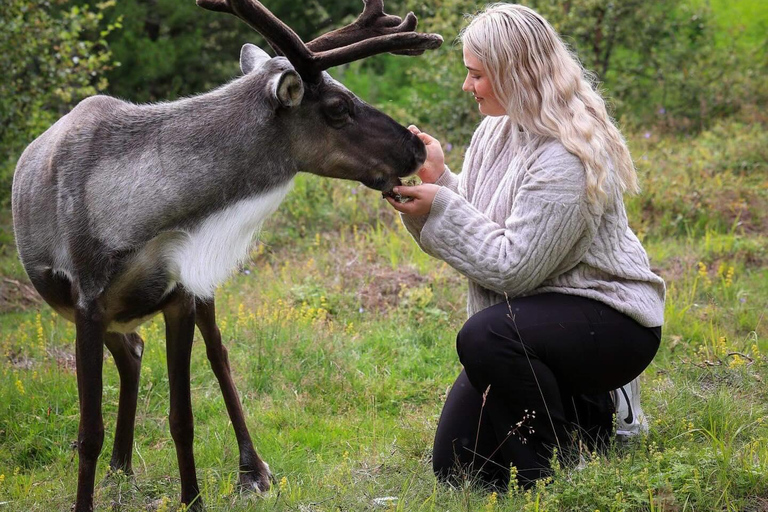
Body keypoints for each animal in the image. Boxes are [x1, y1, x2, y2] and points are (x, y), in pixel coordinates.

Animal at [10, 0, 442, 509]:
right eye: (338, 108)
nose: (415, 147)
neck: (139, 217)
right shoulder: (89, 302)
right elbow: (88, 432)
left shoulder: (179, 293)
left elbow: (182, 418)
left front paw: (193, 499)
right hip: (109, 313)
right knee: (132, 352)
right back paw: (120, 466)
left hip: (188, 296)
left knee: (212, 353)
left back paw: (250, 469)